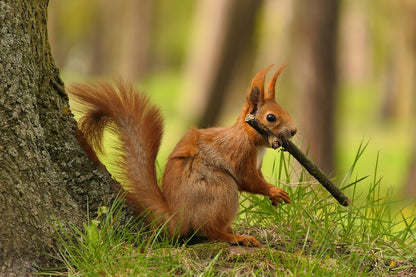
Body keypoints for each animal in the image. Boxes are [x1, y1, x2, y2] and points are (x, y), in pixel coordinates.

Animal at [68, 63, 296, 245]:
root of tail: (179, 218)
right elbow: (248, 180)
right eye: (271, 117)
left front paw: (274, 196)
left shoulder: (257, 163)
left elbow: (257, 177)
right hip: (221, 189)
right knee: (211, 230)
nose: (293, 131)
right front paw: (275, 191)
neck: (251, 139)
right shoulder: (239, 153)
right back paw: (235, 237)